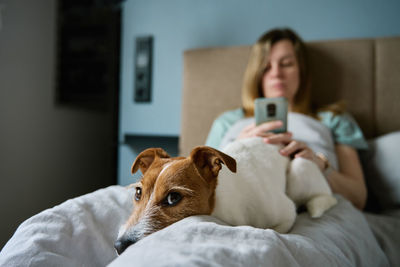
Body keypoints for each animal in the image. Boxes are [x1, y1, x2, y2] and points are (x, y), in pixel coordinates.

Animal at [114, 138, 336, 255]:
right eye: (138, 193)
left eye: (173, 198)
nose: (119, 246)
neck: (219, 204)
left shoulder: (286, 214)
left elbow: (276, 229)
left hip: (299, 170)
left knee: (326, 197)